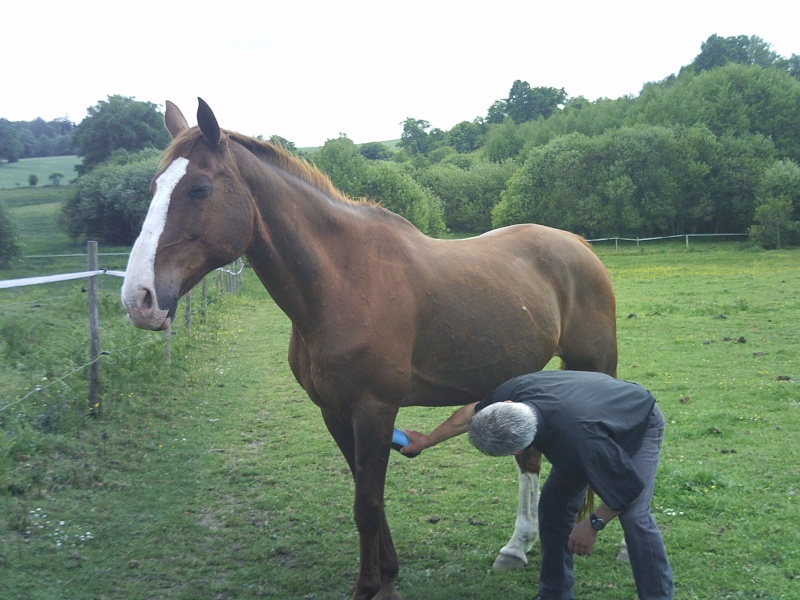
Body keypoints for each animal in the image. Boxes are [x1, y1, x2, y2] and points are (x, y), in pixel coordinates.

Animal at [120, 99, 620, 600]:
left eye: (200, 188)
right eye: (153, 188)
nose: (139, 298)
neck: (344, 282)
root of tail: (577, 245)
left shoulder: (375, 410)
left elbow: (368, 505)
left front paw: (369, 586)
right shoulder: (336, 412)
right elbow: (368, 499)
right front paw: (388, 575)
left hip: (594, 365)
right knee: (529, 457)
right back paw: (517, 546)